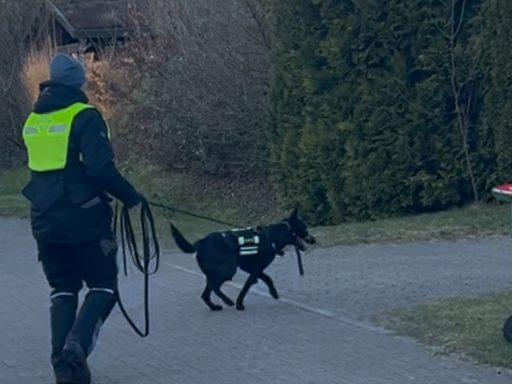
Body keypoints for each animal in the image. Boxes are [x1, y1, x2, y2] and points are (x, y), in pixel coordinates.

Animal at [172, 208, 314, 310]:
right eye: (305, 229)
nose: (314, 240)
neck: (273, 236)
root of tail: (202, 242)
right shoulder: (255, 270)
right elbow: (246, 287)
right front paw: (239, 304)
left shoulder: (254, 269)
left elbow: (267, 278)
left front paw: (274, 293)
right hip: (228, 270)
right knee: (215, 286)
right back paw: (228, 301)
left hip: (217, 272)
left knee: (206, 293)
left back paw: (214, 307)